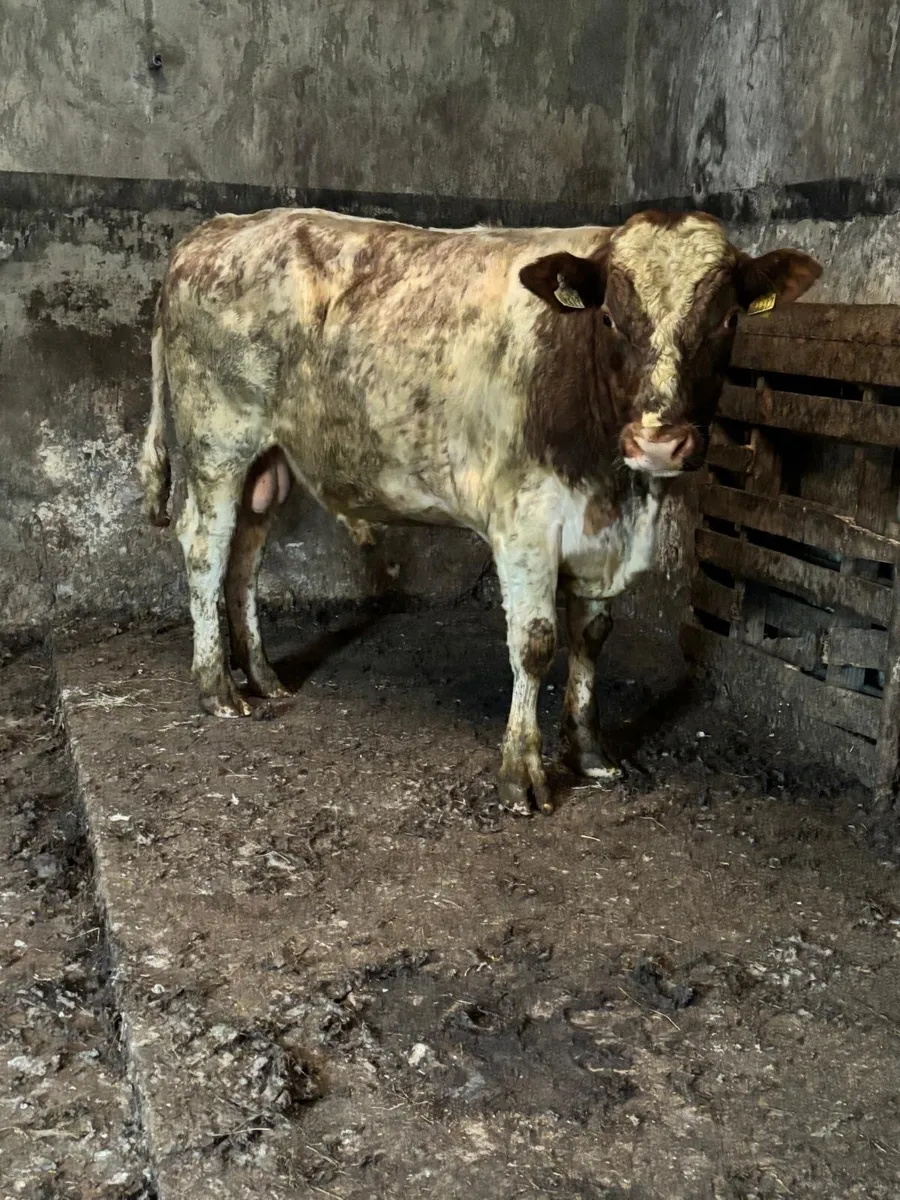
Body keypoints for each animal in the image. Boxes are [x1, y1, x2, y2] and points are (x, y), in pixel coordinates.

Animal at [139, 206, 821, 813]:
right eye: (608, 316)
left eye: (727, 319)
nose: (658, 441)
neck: (616, 490)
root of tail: (220, 228)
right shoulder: (524, 521)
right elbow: (535, 643)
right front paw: (522, 774)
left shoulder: (603, 537)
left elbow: (592, 636)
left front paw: (590, 753)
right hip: (218, 443)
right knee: (205, 548)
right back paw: (217, 688)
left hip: (267, 462)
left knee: (245, 559)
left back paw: (261, 675)